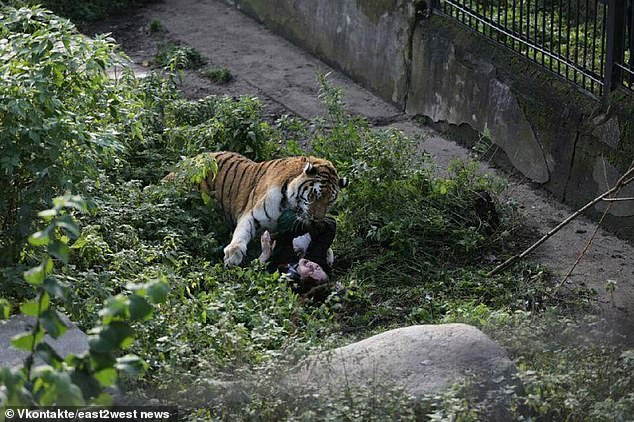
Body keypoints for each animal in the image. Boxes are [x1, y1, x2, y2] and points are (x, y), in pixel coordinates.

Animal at [201, 152, 346, 268]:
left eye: (329, 201)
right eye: (313, 196)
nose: (316, 220)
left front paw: (327, 254)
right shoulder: (252, 214)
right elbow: (242, 232)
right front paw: (233, 254)